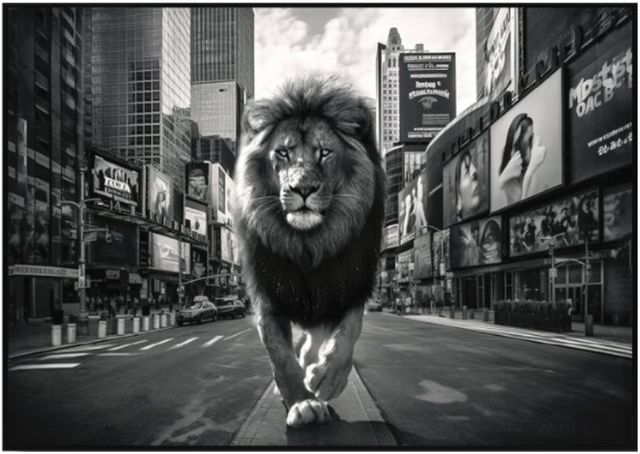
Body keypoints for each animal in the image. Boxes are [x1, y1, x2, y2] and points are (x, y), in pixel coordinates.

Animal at [232, 76, 386, 427]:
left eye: (324, 152)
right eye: (283, 153)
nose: (302, 190)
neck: (308, 244)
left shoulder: (352, 283)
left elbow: (346, 335)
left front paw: (329, 379)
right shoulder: (266, 290)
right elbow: (279, 352)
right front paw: (302, 402)